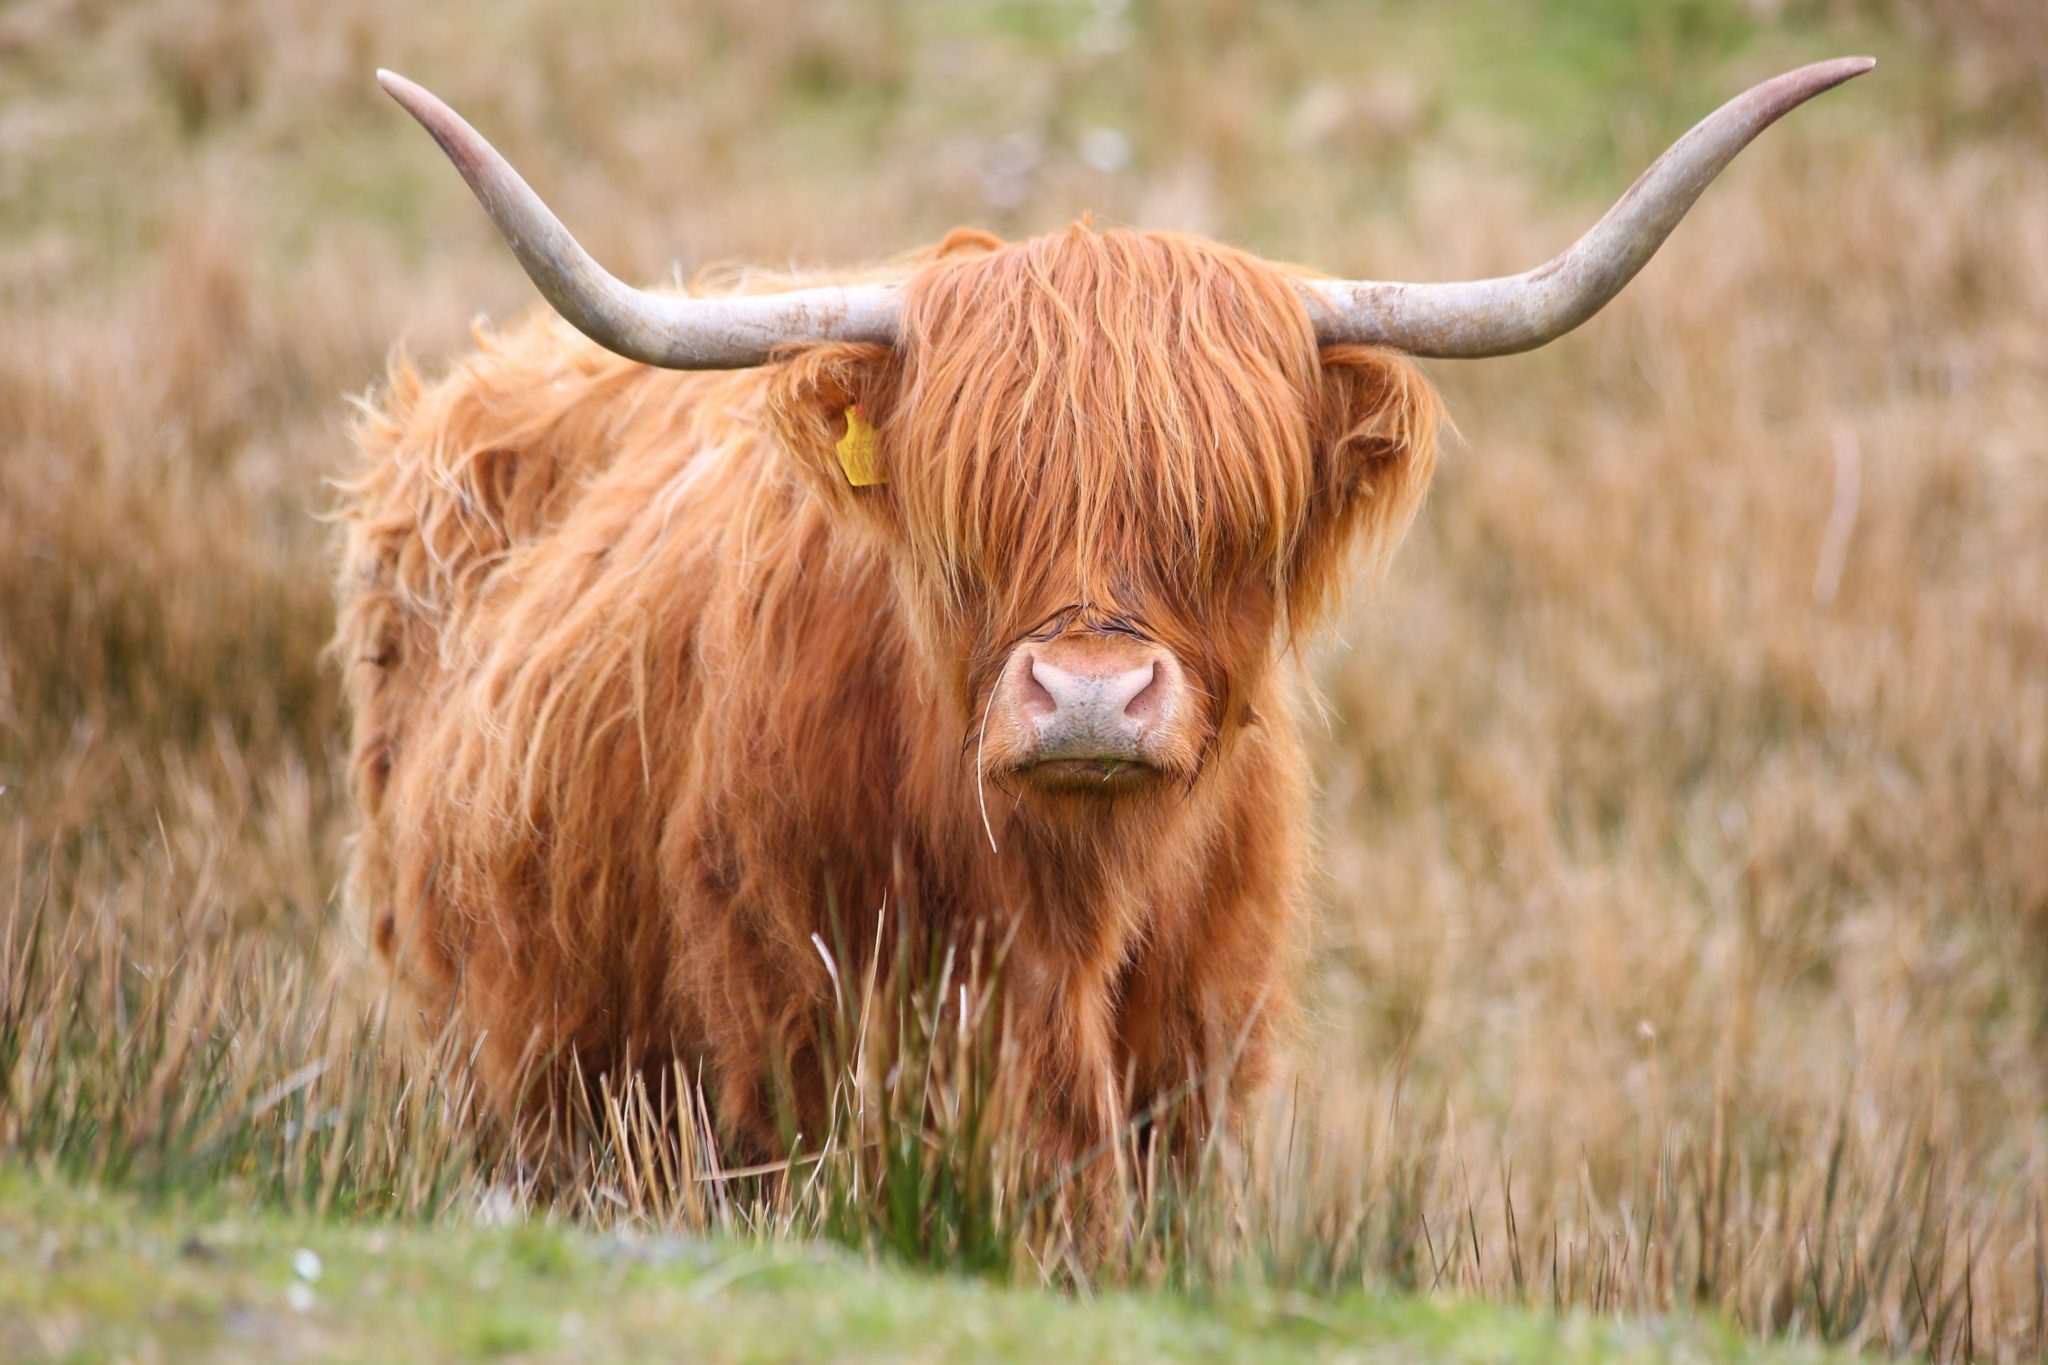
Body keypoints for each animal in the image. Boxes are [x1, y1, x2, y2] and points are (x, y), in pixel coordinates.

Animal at [336, 59, 1872, 1182]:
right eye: (972, 511)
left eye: (1230, 516)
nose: (1086, 697)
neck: (1059, 909)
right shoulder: (774, 1043)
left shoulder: (1191, 1075)